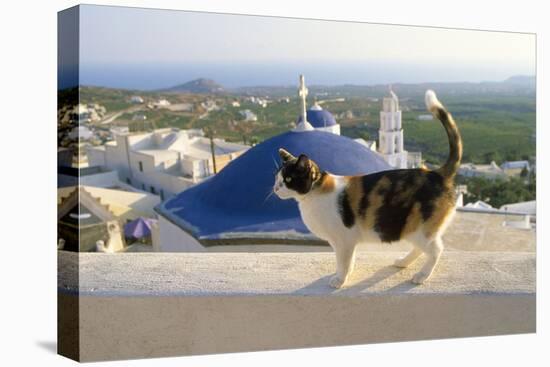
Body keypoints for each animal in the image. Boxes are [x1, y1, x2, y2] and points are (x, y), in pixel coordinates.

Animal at [274, 90, 462, 288]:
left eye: (288, 179)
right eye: (276, 178)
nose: (276, 188)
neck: (314, 194)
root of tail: (437, 173)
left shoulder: (344, 240)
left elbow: (343, 261)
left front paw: (340, 279)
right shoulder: (347, 242)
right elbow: (349, 260)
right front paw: (346, 274)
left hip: (420, 228)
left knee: (436, 250)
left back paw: (422, 275)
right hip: (414, 230)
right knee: (421, 249)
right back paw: (403, 262)